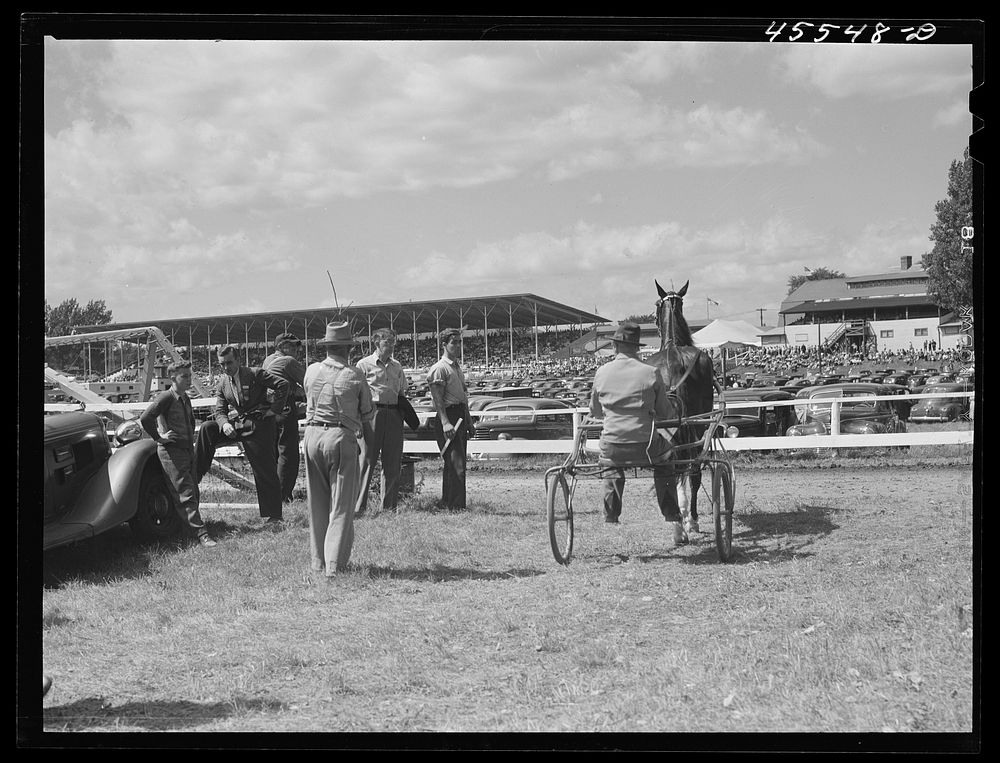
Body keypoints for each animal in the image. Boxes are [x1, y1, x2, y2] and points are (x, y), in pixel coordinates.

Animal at [644, 278, 716, 536]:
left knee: (679, 468)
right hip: (696, 422)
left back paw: (681, 524)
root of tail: (674, 358)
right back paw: (688, 520)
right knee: (692, 468)